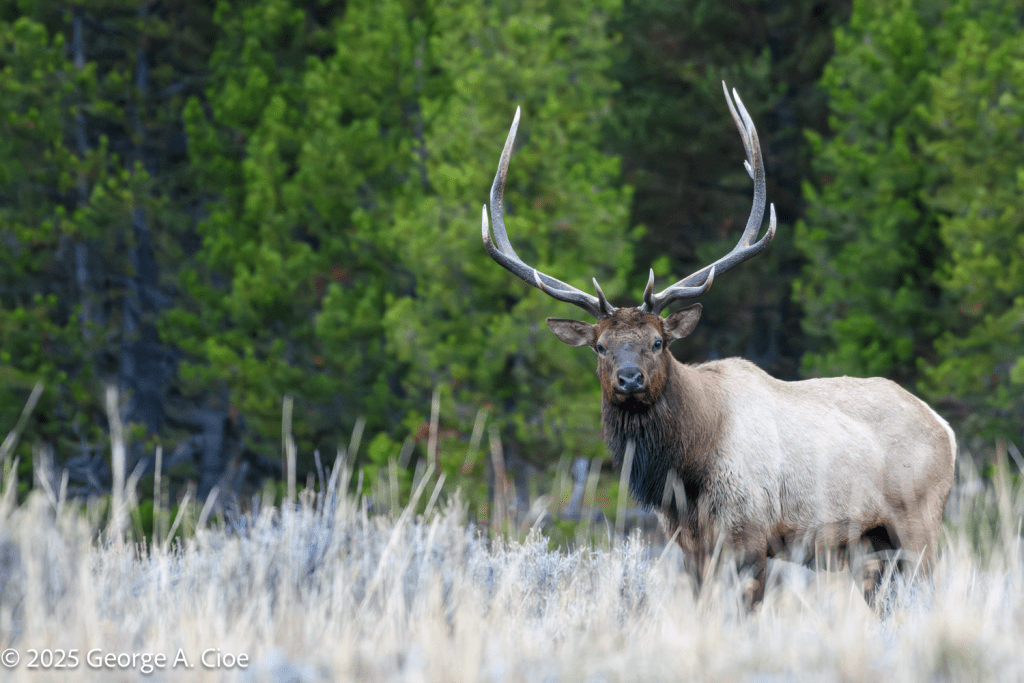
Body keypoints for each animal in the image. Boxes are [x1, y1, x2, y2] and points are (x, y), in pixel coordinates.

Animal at [481, 83, 956, 607]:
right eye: (601, 347)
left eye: (658, 341)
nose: (629, 378)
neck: (686, 471)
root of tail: (946, 430)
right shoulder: (687, 543)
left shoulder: (749, 532)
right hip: (870, 546)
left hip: (918, 521)